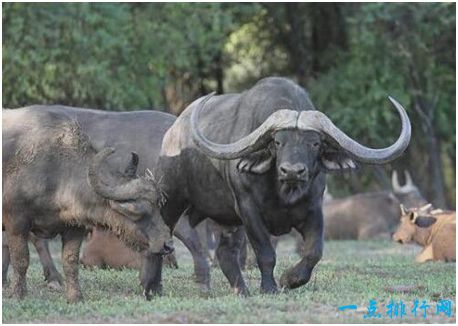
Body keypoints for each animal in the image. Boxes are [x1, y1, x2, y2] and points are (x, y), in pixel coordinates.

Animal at [158, 77, 412, 296]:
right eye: (278, 142)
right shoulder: (248, 210)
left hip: (221, 217)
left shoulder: (314, 209)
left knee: (224, 252)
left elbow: (314, 251)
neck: (283, 194)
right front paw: (269, 287)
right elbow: (266, 252)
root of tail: (172, 133)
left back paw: (240, 291)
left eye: (315, 143)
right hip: (173, 200)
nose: (291, 171)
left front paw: (290, 280)